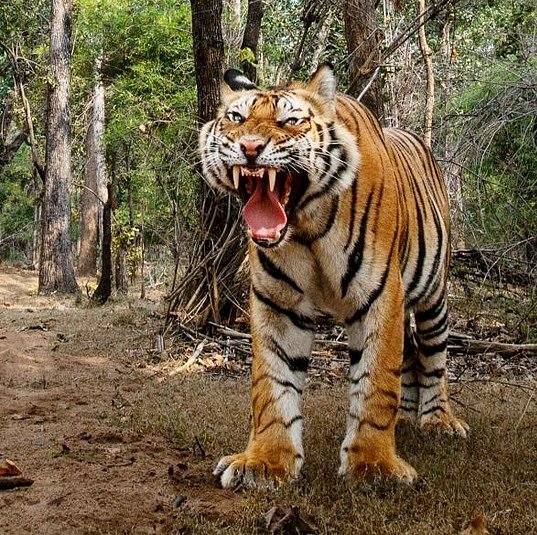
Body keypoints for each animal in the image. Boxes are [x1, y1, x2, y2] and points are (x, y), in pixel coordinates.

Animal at [199, 62, 466, 490]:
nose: (250, 148)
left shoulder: (381, 297)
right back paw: (408, 416)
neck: (305, 227)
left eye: (290, 121)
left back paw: (438, 420)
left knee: (434, 354)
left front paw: (374, 466)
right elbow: (271, 385)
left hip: (433, 295)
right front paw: (265, 463)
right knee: (411, 350)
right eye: (236, 119)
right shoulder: (277, 303)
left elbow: (376, 382)